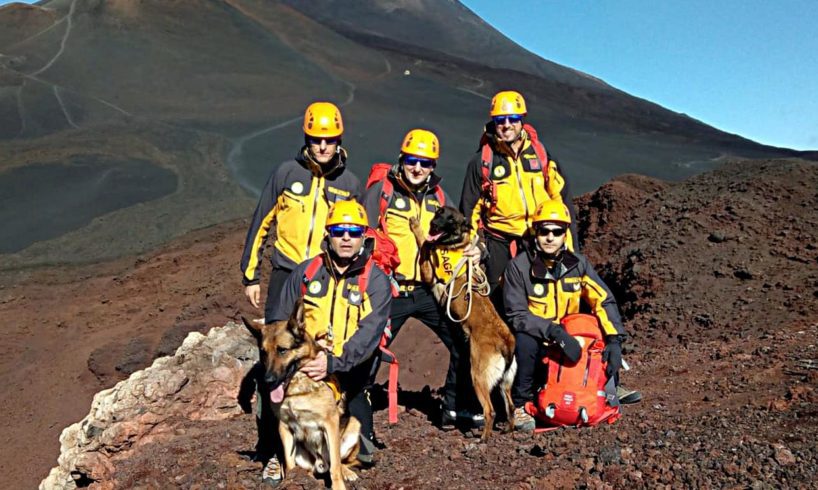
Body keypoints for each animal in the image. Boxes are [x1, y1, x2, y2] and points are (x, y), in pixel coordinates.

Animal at [241, 296, 358, 488]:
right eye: (263, 353)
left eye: (282, 350)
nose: (268, 380)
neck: (296, 389)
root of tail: (320, 464)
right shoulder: (284, 427)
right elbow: (289, 464)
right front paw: (291, 481)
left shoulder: (330, 423)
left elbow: (335, 466)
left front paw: (339, 486)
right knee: (307, 469)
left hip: (353, 426)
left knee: (338, 462)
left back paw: (347, 472)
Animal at [408, 205, 516, 442]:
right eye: (439, 213)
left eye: (451, 220)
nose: (434, 224)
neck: (455, 244)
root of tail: (506, 342)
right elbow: (427, 243)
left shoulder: (429, 274)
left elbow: (424, 243)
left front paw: (417, 227)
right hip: (505, 382)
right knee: (510, 407)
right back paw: (508, 430)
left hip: (477, 376)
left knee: (490, 410)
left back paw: (483, 438)